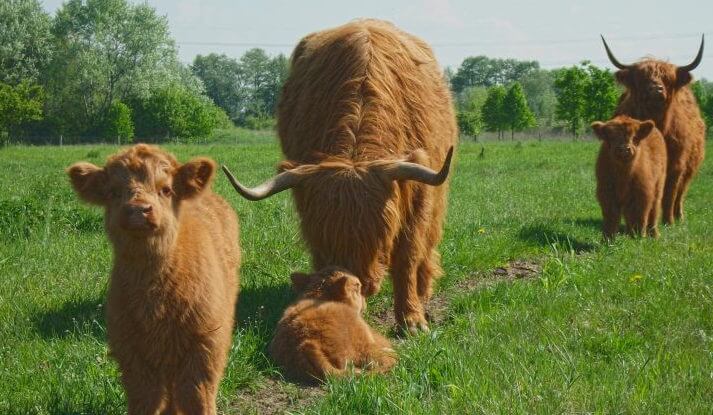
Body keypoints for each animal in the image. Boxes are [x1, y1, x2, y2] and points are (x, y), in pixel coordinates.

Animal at [67, 144, 239, 415]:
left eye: (166, 189)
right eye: (114, 191)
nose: (138, 209)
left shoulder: (206, 345)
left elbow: (196, 397)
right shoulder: (131, 351)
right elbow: (146, 398)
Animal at [224, 19, 456, 334]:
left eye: (380, 234)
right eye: (324, 235)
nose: (358, 282)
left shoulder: (418, 194)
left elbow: (407, 256)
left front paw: (412, 319)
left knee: (427, 246)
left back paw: (424, 291)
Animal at [270, 268, 398, 386]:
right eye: (358, 287)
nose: (365, 303)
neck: (319, 298)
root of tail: (305, 343)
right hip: (364, 349)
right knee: (385, 361)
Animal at [600, 35, 708, 224]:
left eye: (667, 78)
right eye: (642, 78)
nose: (655, 89)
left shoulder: (676, 164)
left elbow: (670, 193)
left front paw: (668, 221)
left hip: (691, 167)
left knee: (681, 192)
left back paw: (678, 216)